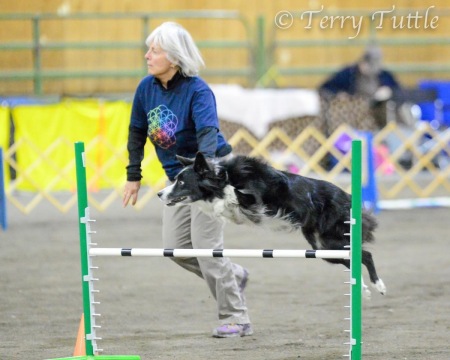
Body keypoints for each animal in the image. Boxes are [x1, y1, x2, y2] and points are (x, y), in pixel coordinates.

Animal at [156, 151, 384, 296]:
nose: (159, 194)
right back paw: (363, 288)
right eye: (175, 179)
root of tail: (347, 197)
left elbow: (233, 194)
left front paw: (224, 198)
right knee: (353, 260)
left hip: (333, 240)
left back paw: (378, 285)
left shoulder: (256, 199)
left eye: (181, 182)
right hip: (324, 248)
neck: (222, 176)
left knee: (367, 255)